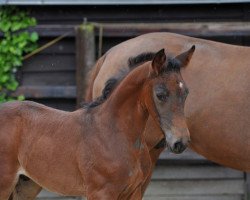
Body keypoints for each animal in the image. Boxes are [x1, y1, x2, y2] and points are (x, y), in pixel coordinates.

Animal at [0, 47, 193, 199]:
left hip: (26, 185)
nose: (180, 142)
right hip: (5, 184)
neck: (113, 132)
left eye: (186, 93)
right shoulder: (101, 193)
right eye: (161, 94)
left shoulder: (134, 192)